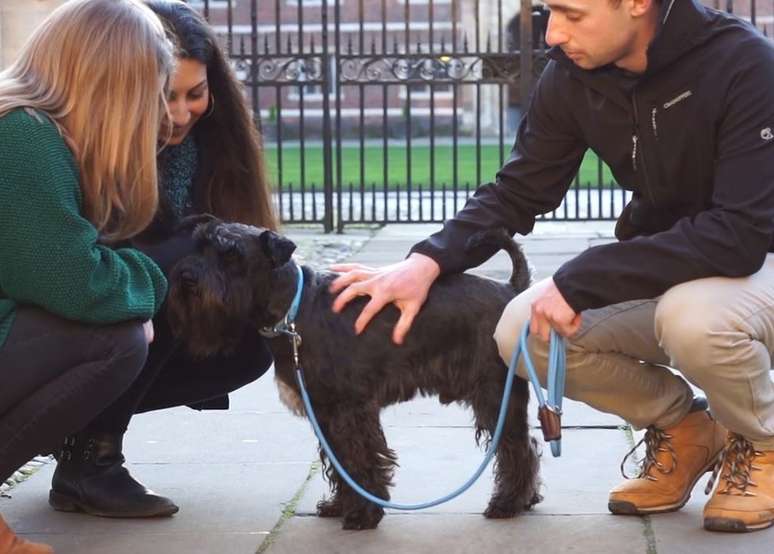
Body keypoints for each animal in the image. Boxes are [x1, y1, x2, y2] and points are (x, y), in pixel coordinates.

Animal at [168, 213, 544, 528]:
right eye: (199, 245)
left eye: (231, 254)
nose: (186, 276)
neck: (292, 312)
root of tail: (511, 288)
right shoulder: (324, 412)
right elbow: (339, 461)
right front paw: (340, 506)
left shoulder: (350, 409)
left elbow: (360, 458)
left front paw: (363, 514)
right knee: (527, 443)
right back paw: (525, 500)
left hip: (495, 395)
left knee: (516, 447)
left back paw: (507, 504)